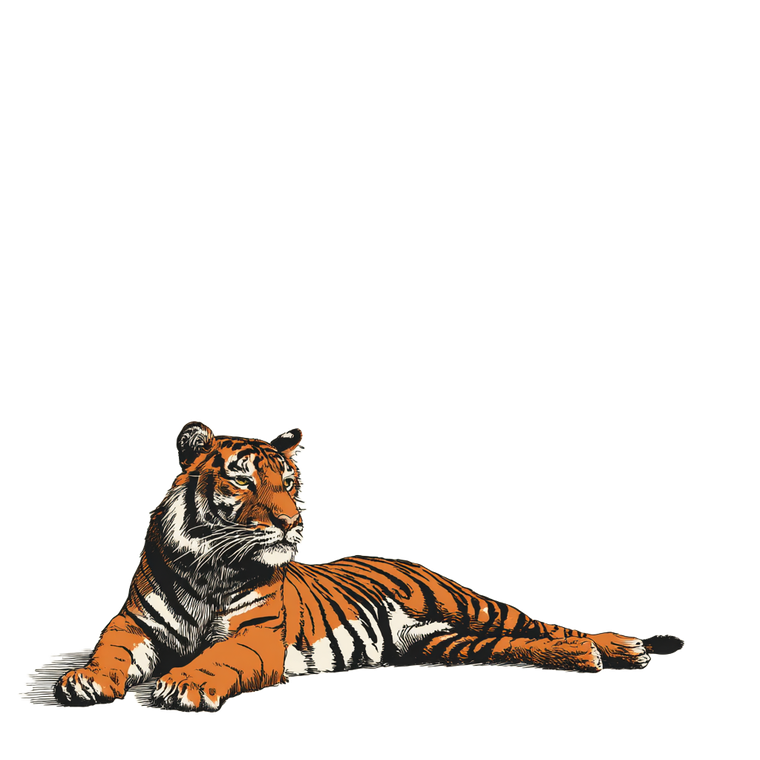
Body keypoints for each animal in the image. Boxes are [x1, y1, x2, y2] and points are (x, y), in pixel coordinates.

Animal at [54, 422, 685, 712]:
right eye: (243, 479)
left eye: (289, 482)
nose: (292, 520)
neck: (211, 564)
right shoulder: (135, 624)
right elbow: (109, 651)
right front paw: (84, 679)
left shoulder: (257, 637)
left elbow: (214, 658)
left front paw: (181, 683)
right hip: (443, 641)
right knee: (516, 644)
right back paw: (593, 657)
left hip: (469, 605)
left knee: (543, 626)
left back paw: (615, 648)